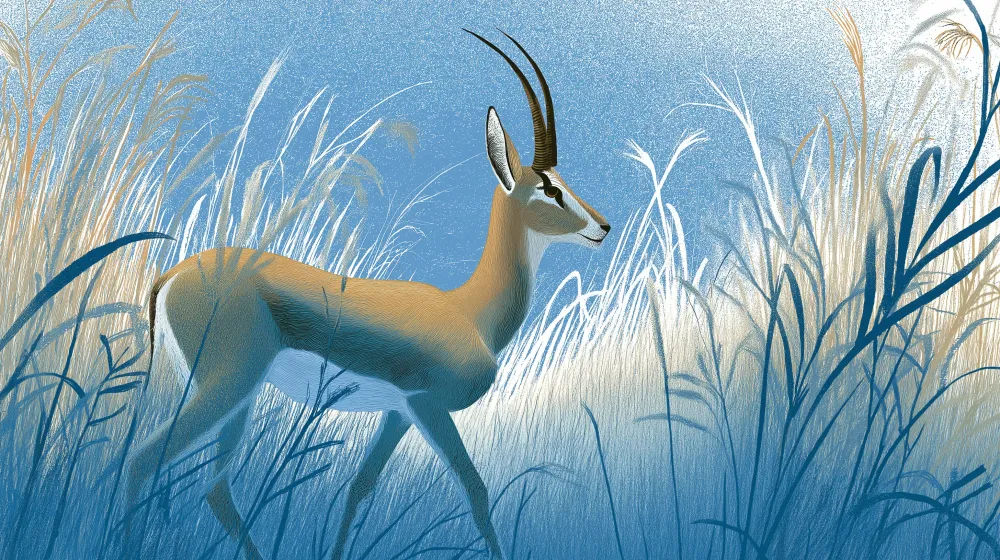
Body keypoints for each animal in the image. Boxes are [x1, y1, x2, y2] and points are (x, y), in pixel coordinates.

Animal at [125, 30, 609, 560]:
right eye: (548, 188)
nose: (603, 226)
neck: (468, 312)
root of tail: (171, 275)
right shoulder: (427, 405)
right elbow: (477, 493)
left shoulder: (398, 414)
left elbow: (358, 490)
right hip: (228, 386)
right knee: (141, 462)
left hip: (235, 397)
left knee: (214, 488)